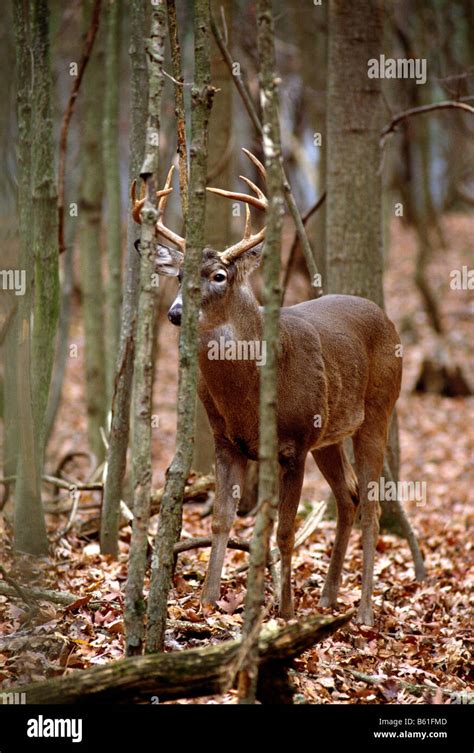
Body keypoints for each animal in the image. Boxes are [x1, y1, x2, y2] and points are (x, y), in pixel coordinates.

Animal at [131, 150, 402, 624]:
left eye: (219, 275)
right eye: (178, 274)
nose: (176, 312)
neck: (249, 391)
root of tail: (388, 320)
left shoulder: (294, 443)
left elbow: (285, 530)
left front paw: (286, 610)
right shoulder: (226, 440)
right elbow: (221, 519)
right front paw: (206, 602)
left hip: (378, 412)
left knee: (371, 506)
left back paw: (365, 612)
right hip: (331, 435)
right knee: (348, 498)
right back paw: (329, 598)